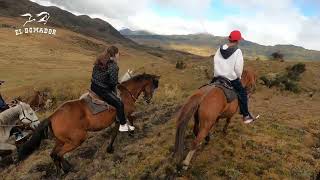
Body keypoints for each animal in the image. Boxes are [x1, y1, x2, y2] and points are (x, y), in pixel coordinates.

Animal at [17, 73, 160, 174]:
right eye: (153, 86)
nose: (148, 99)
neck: (126, 93)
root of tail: (52, 116)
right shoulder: (124, 115)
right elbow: (129, 122)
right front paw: (131, 133)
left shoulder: (117, 119)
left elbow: (115, 132)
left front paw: (111, 147)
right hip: (77, 139)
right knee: (58, 154)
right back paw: (68, 168)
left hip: (62, 140)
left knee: (53, 154)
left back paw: (62, 170)